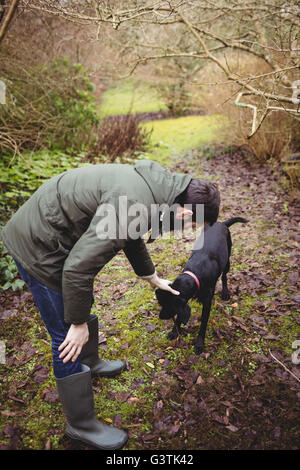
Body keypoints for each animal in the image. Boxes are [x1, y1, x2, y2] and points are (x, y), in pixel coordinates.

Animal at [156, 218, 247, 354]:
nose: (160, 316)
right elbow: (180, 316)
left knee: (224, 276)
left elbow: (203, 323)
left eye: (169, 306)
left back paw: (225, 292)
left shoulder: (207, 304)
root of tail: (221, 223)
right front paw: (174, 331)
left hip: (227, 260)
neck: (195, 273)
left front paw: (199, 343)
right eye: (162, 304)